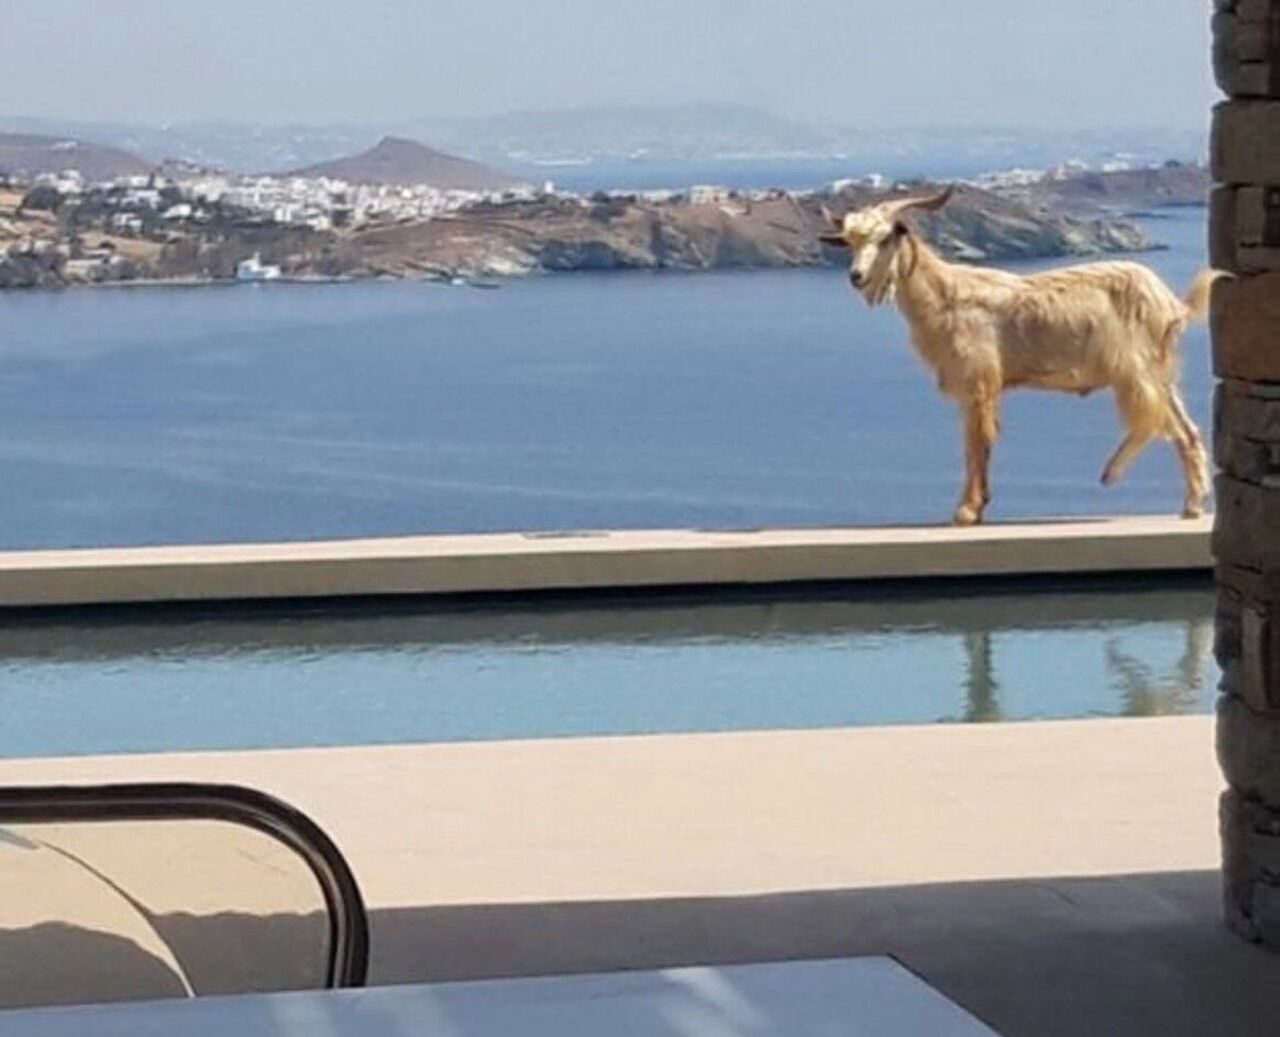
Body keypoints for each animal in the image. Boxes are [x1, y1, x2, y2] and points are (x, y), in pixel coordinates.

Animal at [819, 186, 1222, 525]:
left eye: (885, 238)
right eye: (850, 242)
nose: (856, 276)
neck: (945, 297)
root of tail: (1172, 304)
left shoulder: (980, 383)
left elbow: (976, 444)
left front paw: (967, 510)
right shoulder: (977, 389)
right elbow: (978, 444)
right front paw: (978, 507)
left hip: (1136, 368)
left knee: (1154, 421)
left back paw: (1112, 473)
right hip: (1161, 373)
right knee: (1186, 432)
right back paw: (1191, 505)